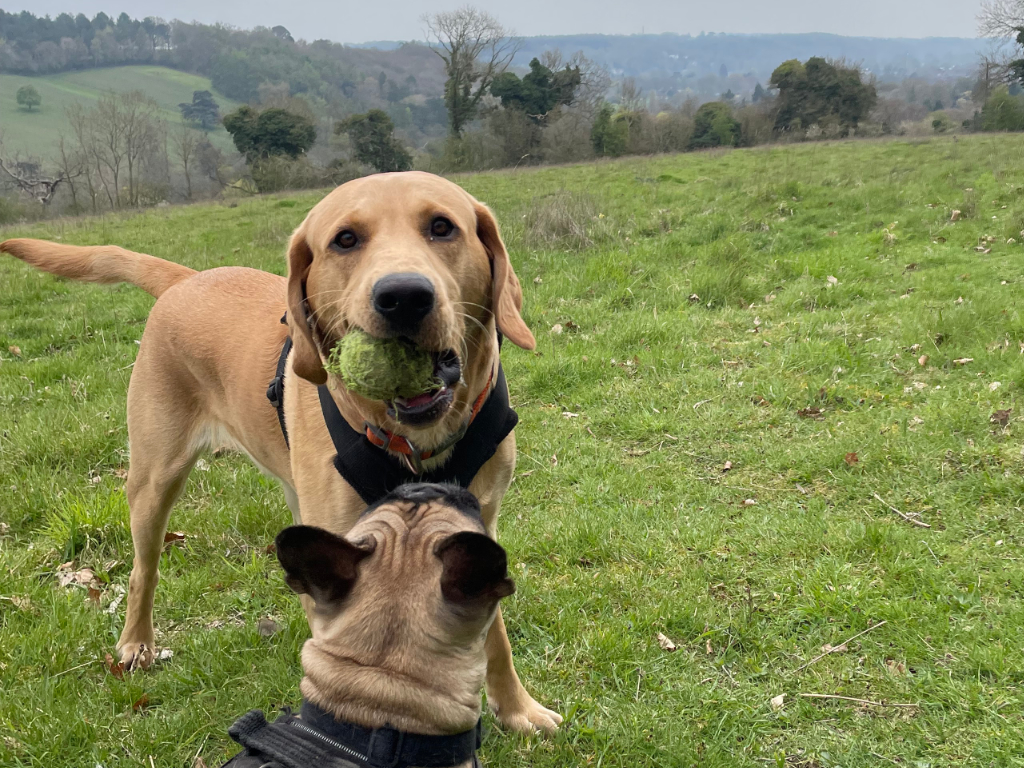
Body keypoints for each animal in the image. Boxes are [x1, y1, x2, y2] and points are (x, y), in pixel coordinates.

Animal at [0, 171, 561, 737]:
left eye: (443, 227)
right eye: (345, 240)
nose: (403, 296)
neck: (415, 441)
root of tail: (185, 279)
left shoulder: (476, 524)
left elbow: (493, 635)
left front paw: (517, 709)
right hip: (154, 480)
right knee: (143, 569)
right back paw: (136, 641)